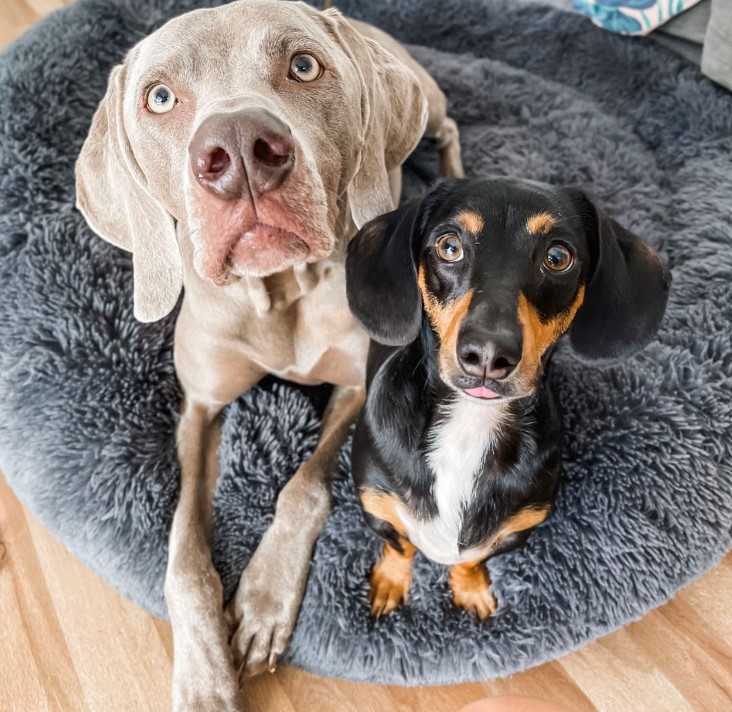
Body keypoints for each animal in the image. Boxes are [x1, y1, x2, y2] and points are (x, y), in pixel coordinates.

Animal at [76, 0, 464, 708]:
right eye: (160, 97)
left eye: (303, 65)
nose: (237, 152)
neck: (279, 288)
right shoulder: (199, 408)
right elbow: (182, 553)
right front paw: (204, 674)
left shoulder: (358, 386)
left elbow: (304, 487)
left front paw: (262, 601)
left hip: (427, 96)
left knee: (446, 128)